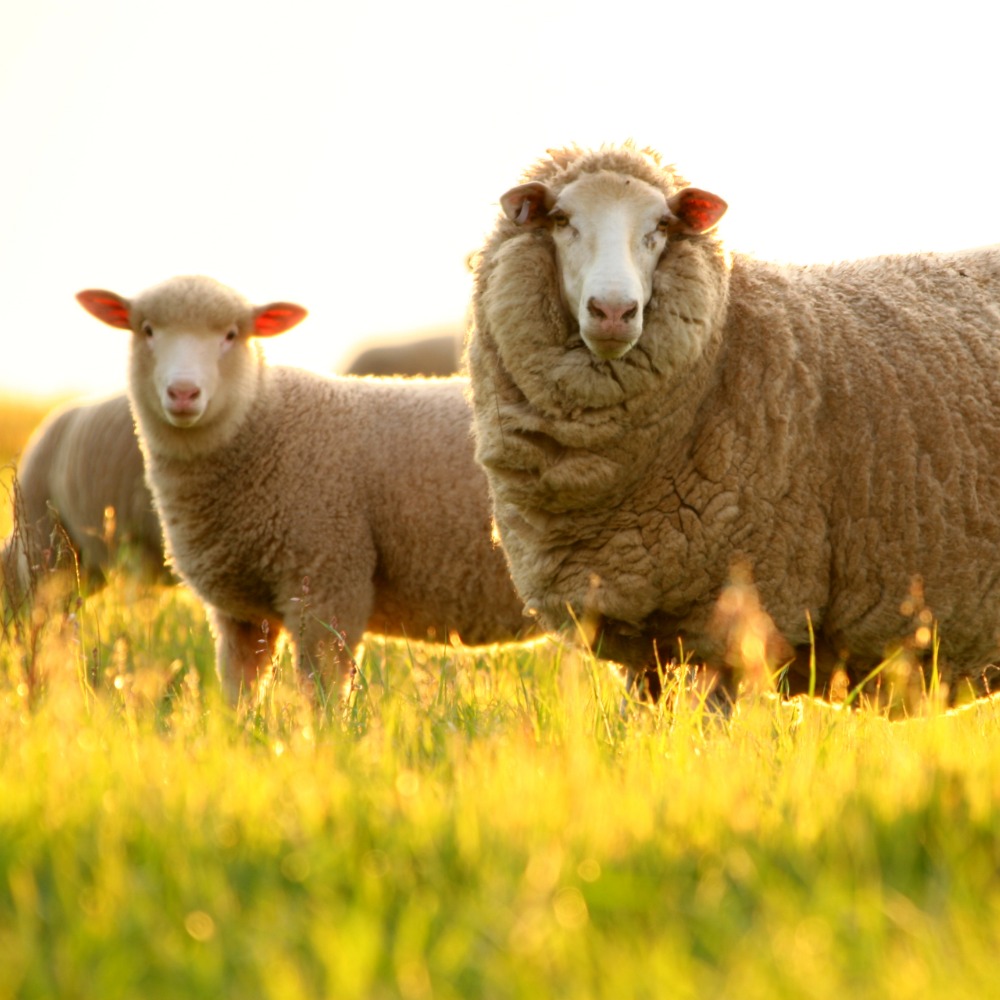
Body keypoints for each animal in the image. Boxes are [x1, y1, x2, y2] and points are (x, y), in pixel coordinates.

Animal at [76, 274, 532, 704]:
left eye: (231, 335)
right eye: (147, 330)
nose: (183, 392)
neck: (263, 422)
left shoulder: (329, 577)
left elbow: (323, 691)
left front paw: (326, 735)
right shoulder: (239, 613)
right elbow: (240, 692)